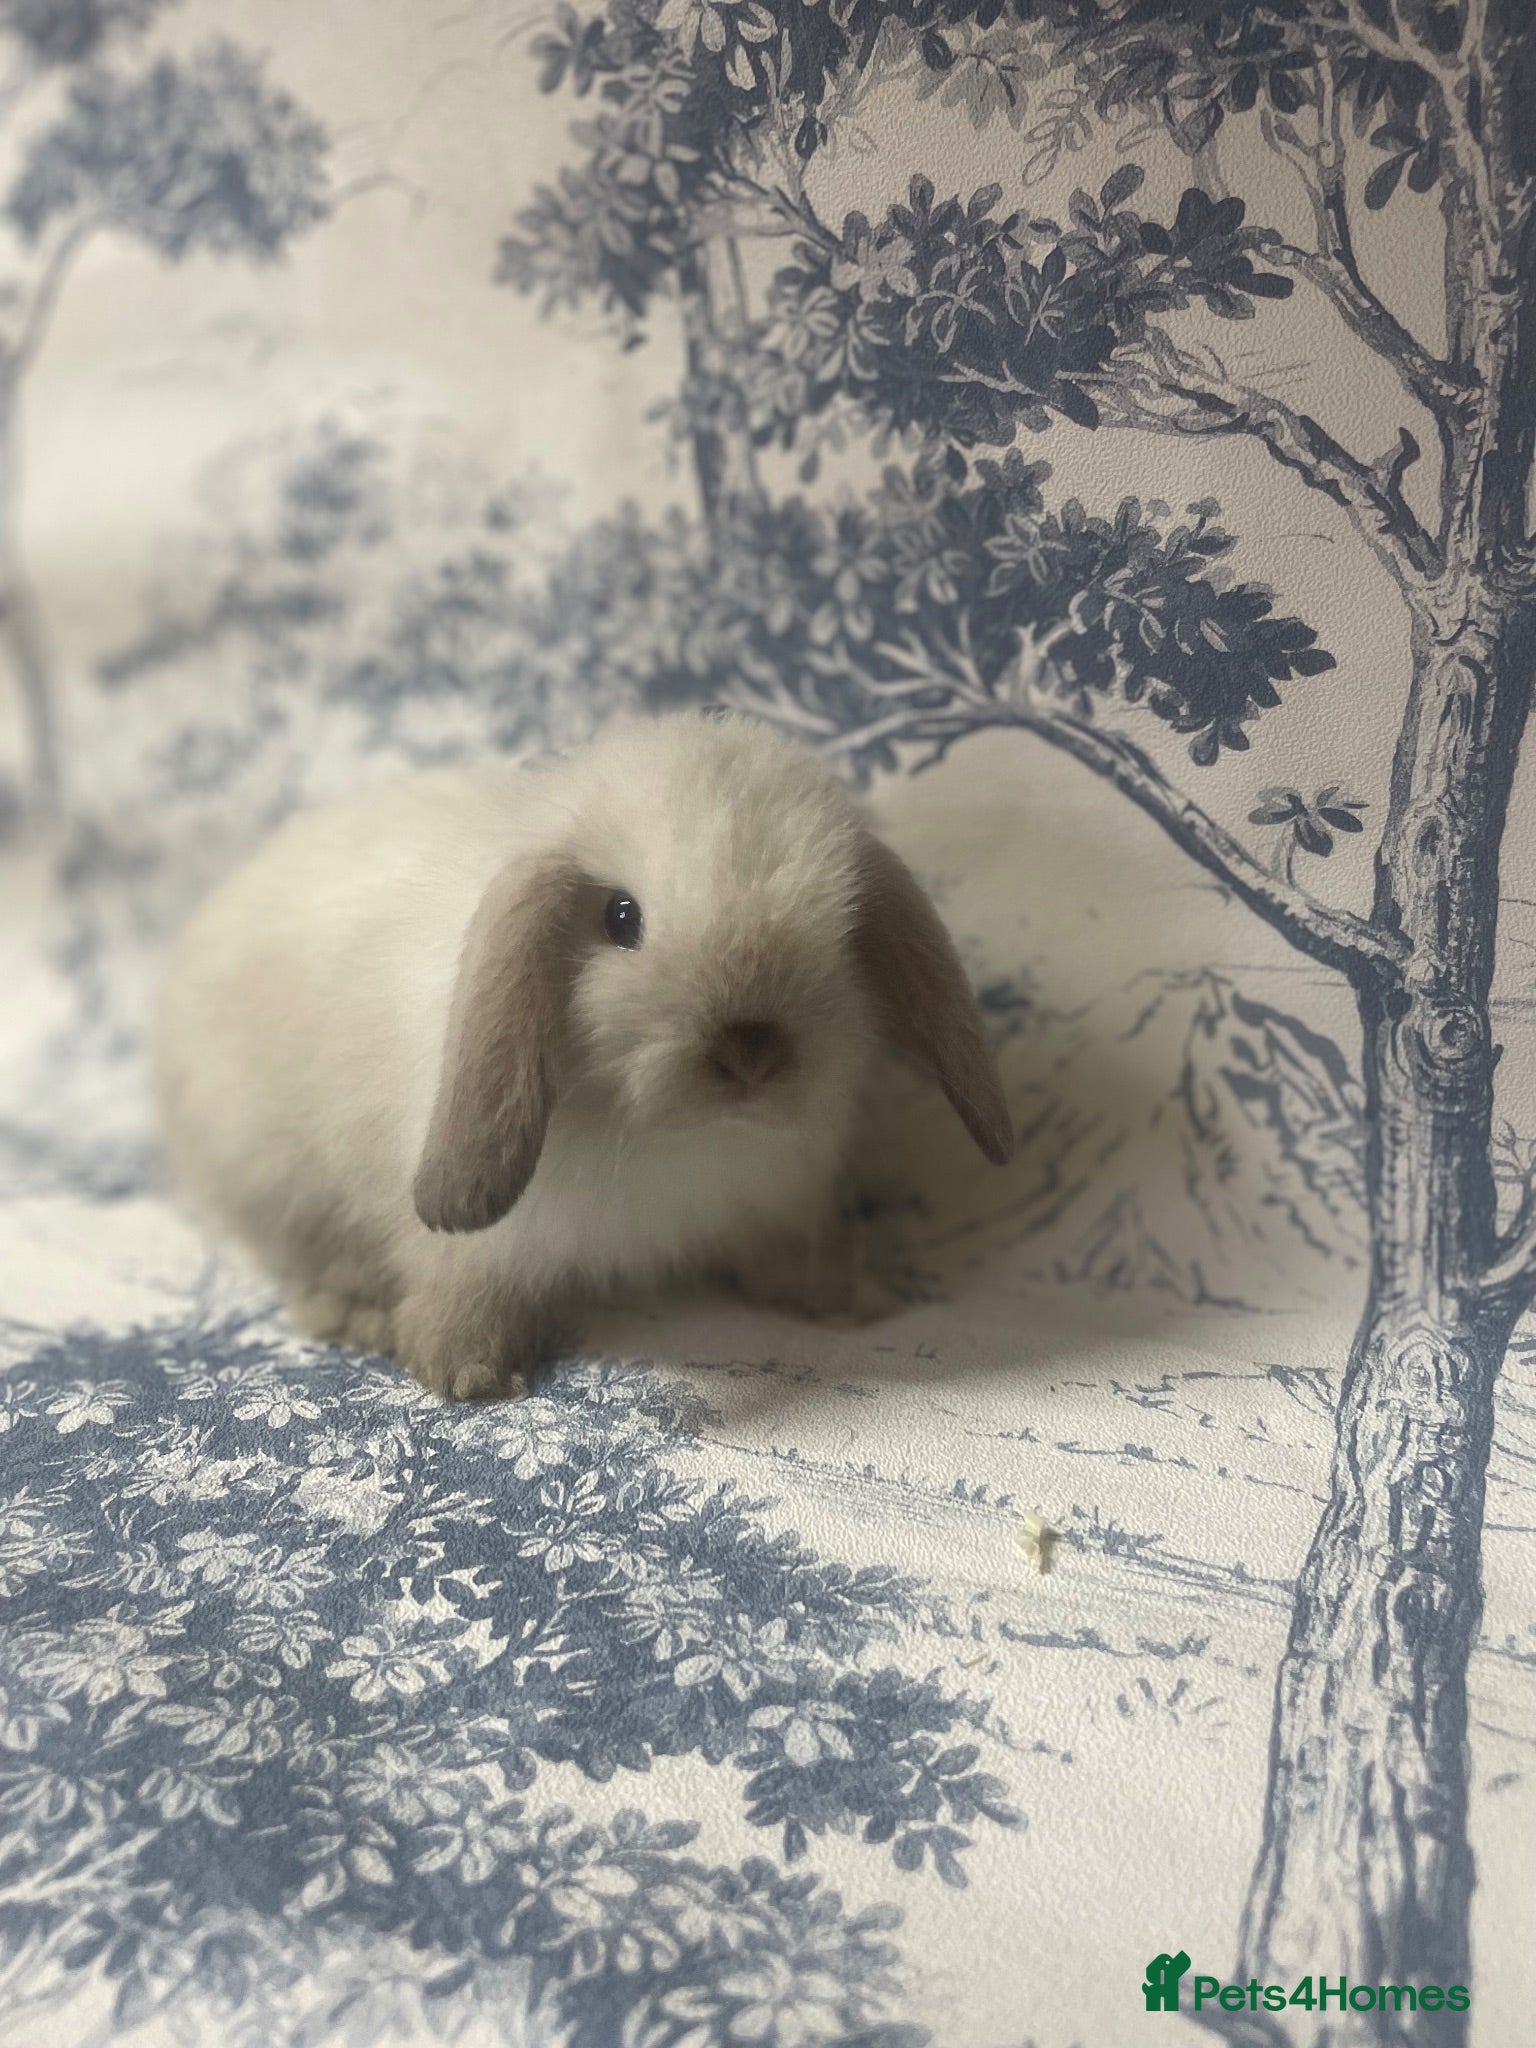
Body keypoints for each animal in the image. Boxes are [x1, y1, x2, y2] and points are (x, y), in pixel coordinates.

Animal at [155, 709, 1013, 1400]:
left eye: (842, 927)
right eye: (622, 918)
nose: (750, 1055)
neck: (673, 1140)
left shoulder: (777, 1204)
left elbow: (796, 1256)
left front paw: (852, 1302)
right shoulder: (476, 1246)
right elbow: (461, 1293)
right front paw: (468, 1376)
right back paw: (352, 1309)